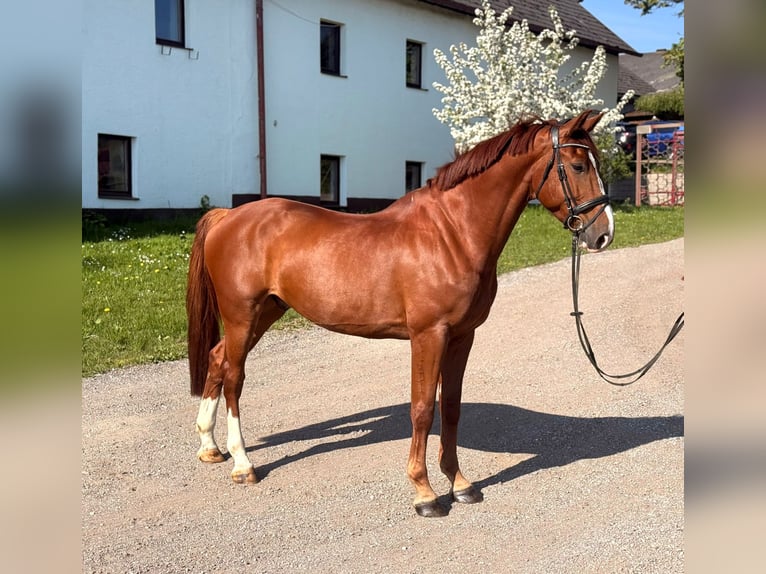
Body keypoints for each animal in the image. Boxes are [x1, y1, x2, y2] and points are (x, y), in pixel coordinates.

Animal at [186, 110, 614, 517]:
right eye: (579, 166)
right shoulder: (429, 335)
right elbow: (423, 409)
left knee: (217, 359)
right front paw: (424, 493)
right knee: (234, 377)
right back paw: (242, 463)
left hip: (266, 312)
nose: (603, 235)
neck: (453, 233)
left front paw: (460, 484)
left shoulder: (463, 335)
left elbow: (451, 407)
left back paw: (209, 446)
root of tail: (228, 216)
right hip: (242, 315)